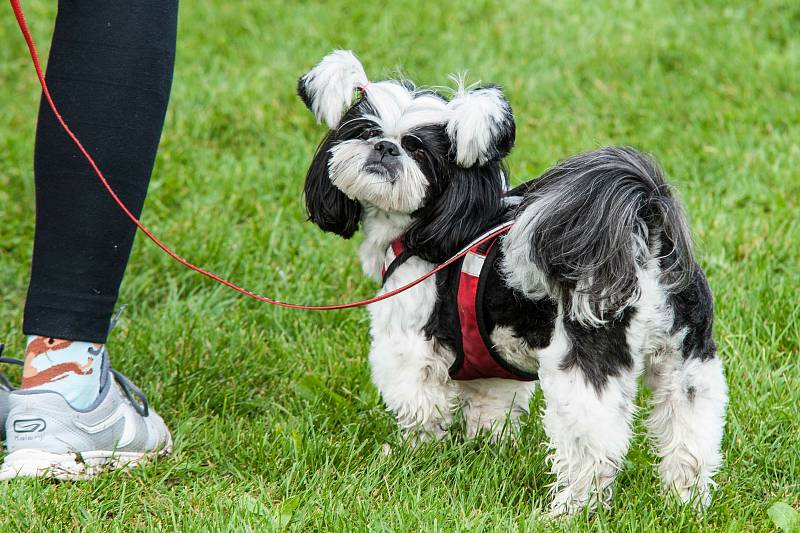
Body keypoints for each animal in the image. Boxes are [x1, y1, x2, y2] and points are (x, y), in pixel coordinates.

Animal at [296, 50, 728, 516]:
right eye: (365, 131)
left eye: (418, 150)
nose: (385, 147)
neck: (430, 226)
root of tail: (642, 240)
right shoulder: (489, 355)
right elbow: (492, 401)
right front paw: (486, 446)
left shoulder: (410, 341)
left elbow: (420, 403)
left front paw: (415, 451)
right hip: (687, 364)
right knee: (690, 432)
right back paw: (686, 502)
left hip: (586, 367)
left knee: (593, 448)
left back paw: (569, 509)